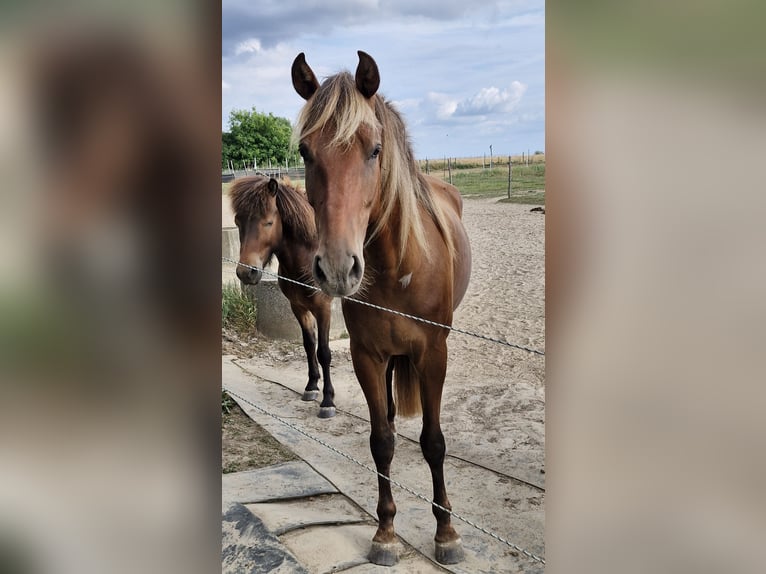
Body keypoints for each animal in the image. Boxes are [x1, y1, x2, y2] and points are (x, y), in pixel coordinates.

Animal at [230, 175, 337, 418]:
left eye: (268, 222)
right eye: (238, 222)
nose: (246, 272)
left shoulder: (323, 309)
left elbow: (324, 351)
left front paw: (328, 401)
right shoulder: (298, 307)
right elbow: (308, 344)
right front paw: (311, 386)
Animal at [292, 51, 472, 565]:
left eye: (374, 150)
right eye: (305, 152)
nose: (337, 267)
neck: (398, 264)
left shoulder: (434, 354)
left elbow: (434, 442)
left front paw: (446, 532)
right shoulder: (366, 355)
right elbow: (380, 443)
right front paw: (386, 531)